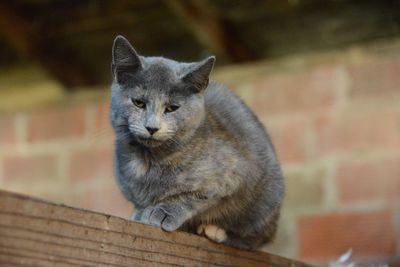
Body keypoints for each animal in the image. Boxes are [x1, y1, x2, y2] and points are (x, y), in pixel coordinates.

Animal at [109, 35, 284, 251]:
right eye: (138, 103)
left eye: (172, 108)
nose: (152, 127)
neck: (148, 160)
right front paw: (140, 212)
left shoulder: (232, 175)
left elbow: (193, 195)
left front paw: (162, 212)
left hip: (264, 202)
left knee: (256, 238)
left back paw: (214, 231)